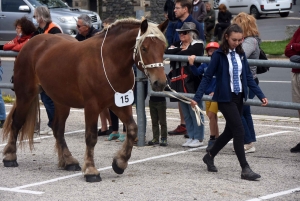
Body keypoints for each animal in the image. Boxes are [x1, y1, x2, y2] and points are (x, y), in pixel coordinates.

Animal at [1, 18, 166, 182]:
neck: (109, 62)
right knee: (17, 122)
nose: (160, 83)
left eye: (163, 48)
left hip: (61, 101)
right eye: (144, 48)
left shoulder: (119, 104)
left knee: (57, 128)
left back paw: (69, 161)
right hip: (25, 95)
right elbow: (91, 137)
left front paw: (120, 162)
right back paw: (10, 157)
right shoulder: (92, 106)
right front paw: (91, 171)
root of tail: (31, 43)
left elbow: (132, 129)